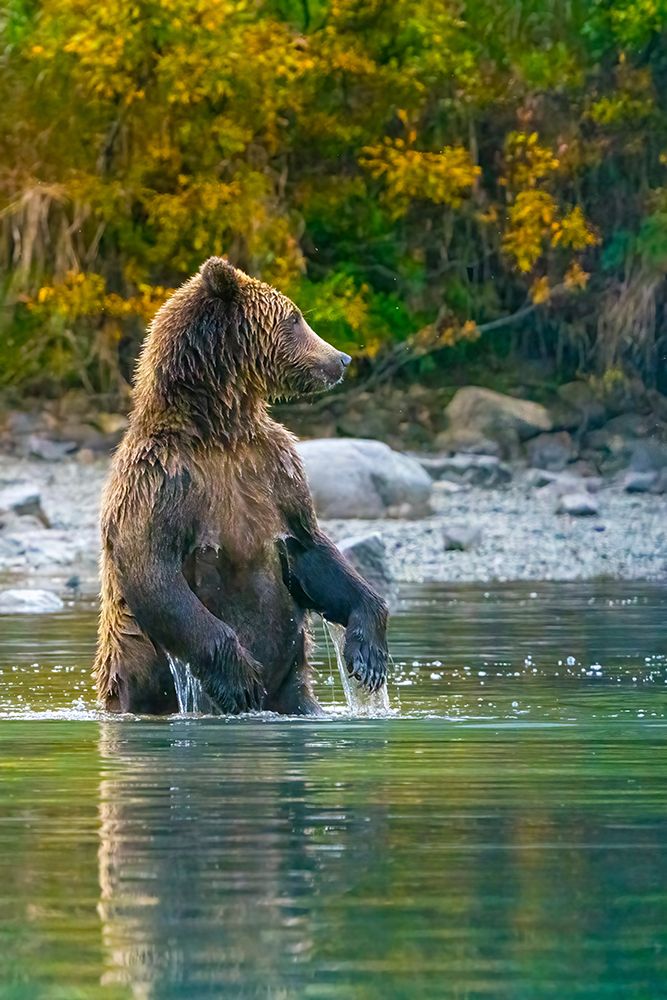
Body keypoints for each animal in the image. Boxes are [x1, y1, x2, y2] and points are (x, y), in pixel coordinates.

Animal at [93, 256, 386, 712]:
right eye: (295, 318)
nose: (341, 358)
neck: (219, 429)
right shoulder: (159, 478)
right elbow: (154, 569)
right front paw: (240, 677)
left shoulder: (273, 467)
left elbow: (310, 547)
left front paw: (368, 652)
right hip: (138, 668)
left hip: (293, 683)